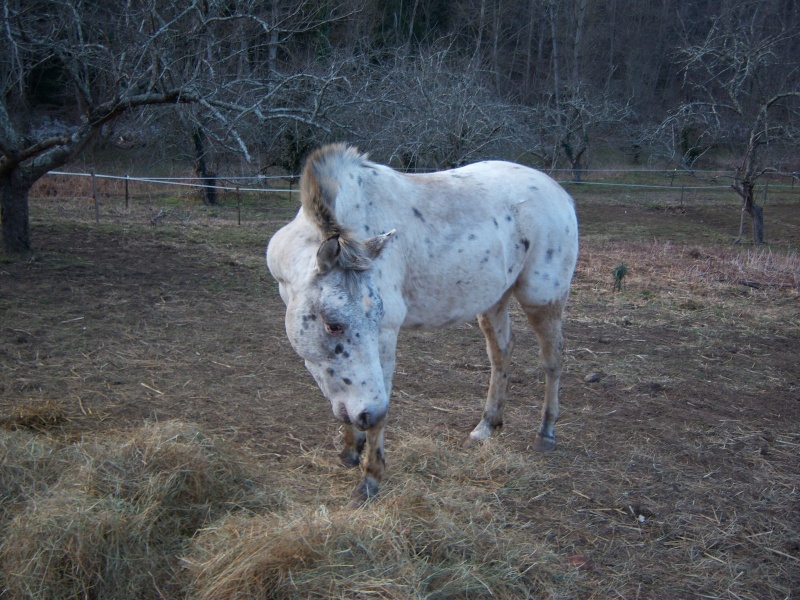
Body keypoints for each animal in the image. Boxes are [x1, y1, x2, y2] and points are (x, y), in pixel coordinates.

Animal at [266, 143, 580, 504]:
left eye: (377, 317)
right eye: (333, 325)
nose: (369, 414)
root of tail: (559, 193)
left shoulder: (386, 336)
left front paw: (370, 480)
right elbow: (340, 387)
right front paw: (349, 450)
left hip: (542, 299)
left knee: (553, 360)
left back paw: (546, 433)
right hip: (493, 301)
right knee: (502, 354)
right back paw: (487, 426)